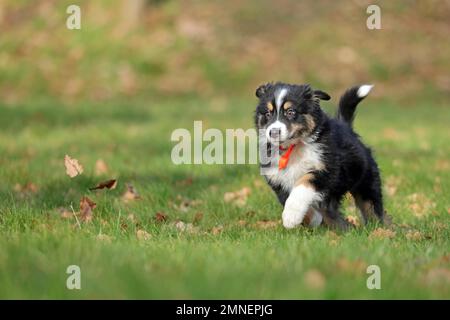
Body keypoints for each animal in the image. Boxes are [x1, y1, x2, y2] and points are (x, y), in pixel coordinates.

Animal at [255, 82, 384, 230]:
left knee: (373, 208)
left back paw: (378, 228)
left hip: (366, 184)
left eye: (290, 112)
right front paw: (313, 218)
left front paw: (291, 217)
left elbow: (302, 185)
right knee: (332, 213)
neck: (292, 147)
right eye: (268, 113)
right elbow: (288, 197)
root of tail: (348, 128)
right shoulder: (277, 180)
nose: (273, 132)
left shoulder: (326, 169)